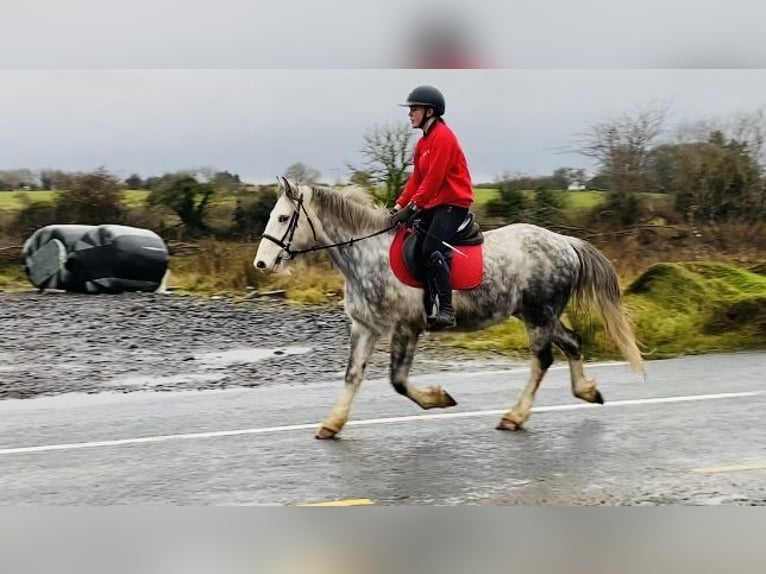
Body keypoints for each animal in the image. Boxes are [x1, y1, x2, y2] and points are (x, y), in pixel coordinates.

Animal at [255, 178, 644, 438]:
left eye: (283, 218)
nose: (261, 264)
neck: (366, 253)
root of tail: (565, 242)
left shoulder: (406, 328)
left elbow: (398, 381)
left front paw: (438, 399)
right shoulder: (365, 327)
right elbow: (353, 375)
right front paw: (332, 423)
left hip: (539, 316)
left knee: (543, 360)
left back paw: (515, 417)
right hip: (538, 314)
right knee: (573, 342)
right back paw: (586, 391)